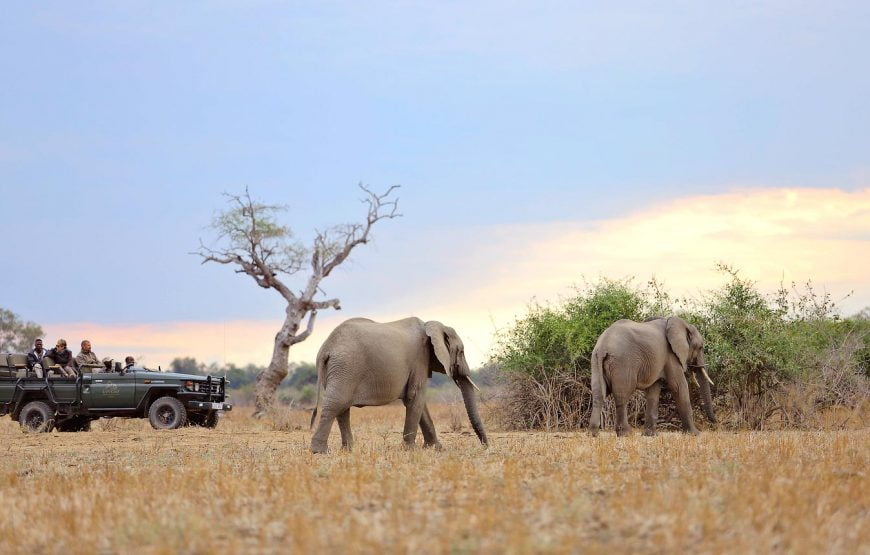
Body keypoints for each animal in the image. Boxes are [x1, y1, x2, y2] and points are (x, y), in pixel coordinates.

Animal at [308, 320, 488, 454]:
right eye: (461, 352)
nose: (485, 446)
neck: (432, 325)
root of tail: (326, 348)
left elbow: (418, 402)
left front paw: (436, 449)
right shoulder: (420, 358)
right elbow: (415, 397)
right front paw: (411, 450)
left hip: (339, 370)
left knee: (342, 408)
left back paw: (348, 451)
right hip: (346, 367)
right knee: (336, 404)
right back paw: (320, 452)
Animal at [588, 318, 720, 438]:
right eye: (700, 347)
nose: (715, 422)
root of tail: (603, 346)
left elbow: (653, 391)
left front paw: (650, 435)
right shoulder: (670, 355)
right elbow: (679, 386)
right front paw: (695, 434)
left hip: (595, 360)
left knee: (598, 394)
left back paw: (593, 434)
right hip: (622, 362)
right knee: (622, 396)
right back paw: (626, 434)